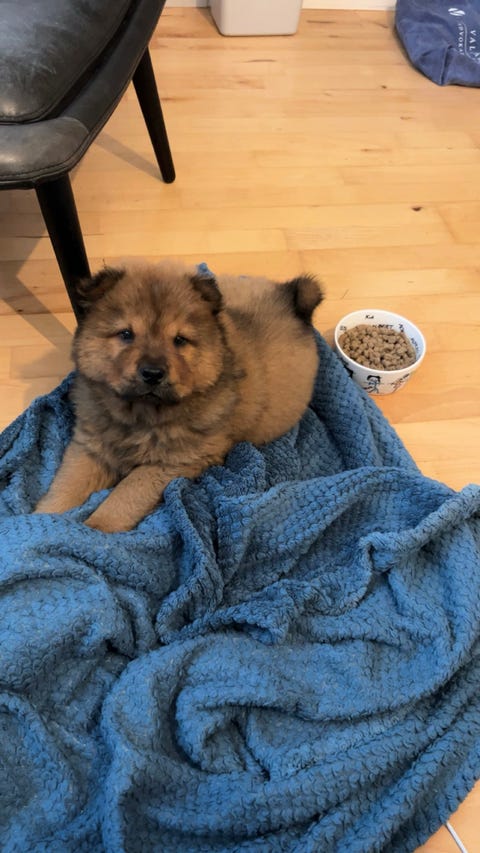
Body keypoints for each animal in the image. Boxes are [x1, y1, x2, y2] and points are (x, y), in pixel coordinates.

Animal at [34, 260, 323, 532]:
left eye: (180, 340)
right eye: (126, 334)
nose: (152, 373)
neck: (140, 416)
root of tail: (290, 299)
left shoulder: (174, 462)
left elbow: (126, 492)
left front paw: (95, 529)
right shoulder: (90, 445)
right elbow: (66, 485)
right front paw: (39, 523)